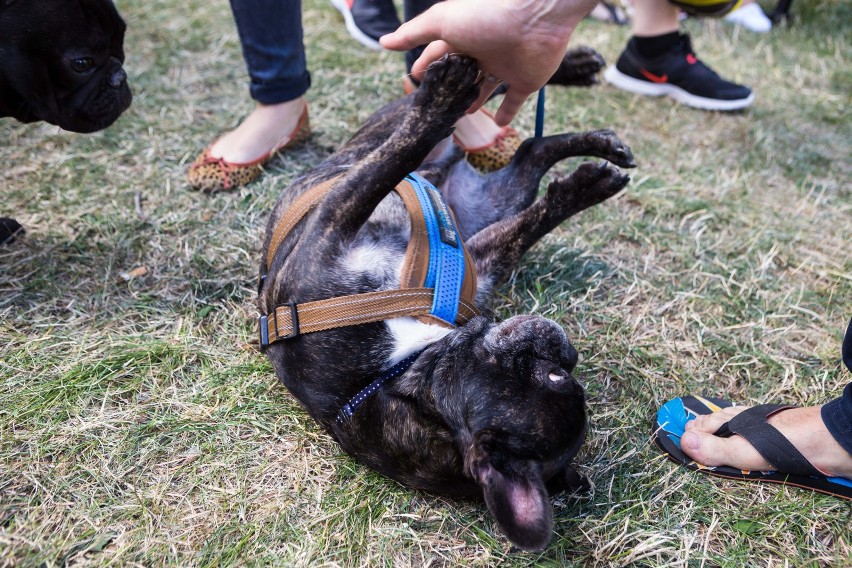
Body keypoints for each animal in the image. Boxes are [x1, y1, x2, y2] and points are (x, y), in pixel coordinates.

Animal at [258, 53, 632, 552]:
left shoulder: (333, 226)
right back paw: (584, 109)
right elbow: (519, 227)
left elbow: (398, 159)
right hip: (481, 196)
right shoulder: (462, 255)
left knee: (489, 128)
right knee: (520, 136)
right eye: (558, 375)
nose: (566, 350)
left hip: (464, 184)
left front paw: (445, 95)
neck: (387, 377)